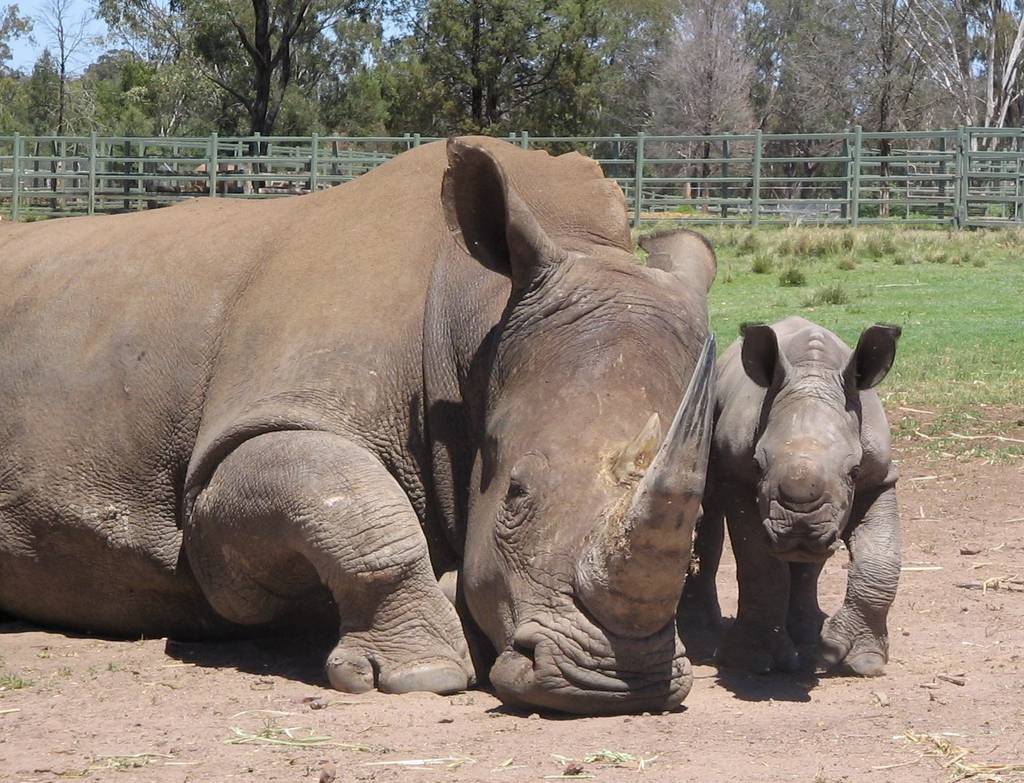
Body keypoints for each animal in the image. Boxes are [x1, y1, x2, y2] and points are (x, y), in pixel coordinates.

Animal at [0, 137, 716, 715]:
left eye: (700, 523)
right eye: (515, 495)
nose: (615, 682)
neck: (477, 321)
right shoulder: (249, 441)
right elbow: (353, 505)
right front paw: (422, 673)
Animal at [681, 317, 901, 676]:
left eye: (854, 471)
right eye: (758, 465)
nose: (800, 527)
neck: (813, 372)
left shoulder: (879, 477)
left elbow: (880, 560)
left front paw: (861, 660)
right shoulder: (738, 477)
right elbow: (760, 565)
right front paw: (753, 661)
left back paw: (811, 637)